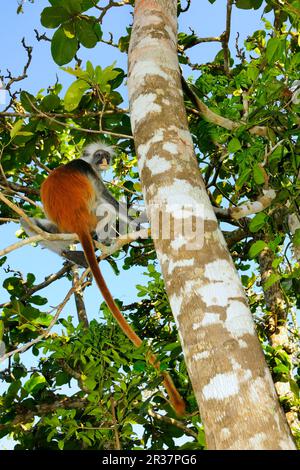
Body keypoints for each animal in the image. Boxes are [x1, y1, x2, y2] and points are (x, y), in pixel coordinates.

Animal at [27, 142, 185, 414]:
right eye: (99, 156)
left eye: (106, 157)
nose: (103, 161)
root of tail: (77, 224)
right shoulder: (87, 169)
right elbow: (112, 201)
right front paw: (139, 221)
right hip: (93, 216)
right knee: (108, 208)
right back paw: (109, 241)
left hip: (60, 231)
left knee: (28, 221)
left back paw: (73, 254)